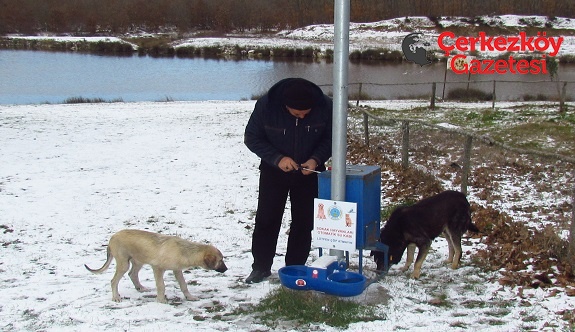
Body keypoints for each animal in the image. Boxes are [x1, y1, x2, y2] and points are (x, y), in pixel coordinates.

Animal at [85, 228, 227, 304]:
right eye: (220, 260)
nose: (226, 269)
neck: (185, 251)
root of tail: (111, 238)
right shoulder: (157, 268)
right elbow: (161, 285)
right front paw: (161, 300)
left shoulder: (177, 270)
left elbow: (184, 285)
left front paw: (190, 297)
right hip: (123, 263)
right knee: (114, 280)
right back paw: (116, 297)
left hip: (139, 261)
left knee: (132, 274)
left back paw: (140, 288)